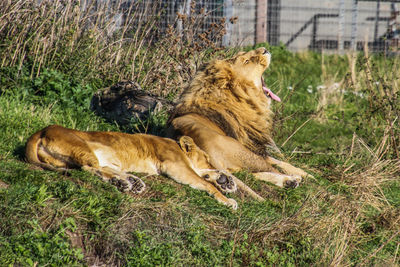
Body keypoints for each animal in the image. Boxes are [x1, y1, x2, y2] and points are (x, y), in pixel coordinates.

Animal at [26, 125, 239, 209]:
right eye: (207, 157)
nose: (211, 162)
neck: (176, 144)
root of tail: (42, 130)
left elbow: (204, 176)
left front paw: (224, 181)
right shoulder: (174, 166)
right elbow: (204, 182)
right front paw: (227, 200)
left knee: (101, 168)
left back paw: (131, 182)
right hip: (82, 147)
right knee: (88, 169)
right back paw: (125, 183)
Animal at [167, 48, 310, 191]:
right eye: (246, 61)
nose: (264, 49)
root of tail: (203, 147)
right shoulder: (254, 147)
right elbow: (279, 162)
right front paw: (306, 174)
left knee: (251, 174)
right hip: (247, 154)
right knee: (270, 169)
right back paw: (293, 179)